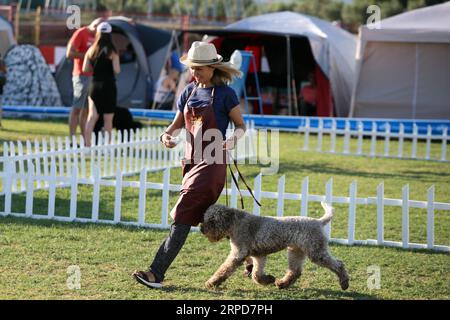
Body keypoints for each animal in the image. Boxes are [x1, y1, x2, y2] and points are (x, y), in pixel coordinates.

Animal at [200, 202, 352, 290]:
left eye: (212, 220)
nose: (202, 229)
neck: (234, 222)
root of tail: (318, 222)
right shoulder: (259, 256)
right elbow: (256, 274)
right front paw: (269, 279)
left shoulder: (238, 254)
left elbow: (224, 270)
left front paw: (211, 283)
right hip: (295, 251)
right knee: (295, 271)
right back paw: (281, 283)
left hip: (316, 252)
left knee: (339, 264)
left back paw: (344, 283)